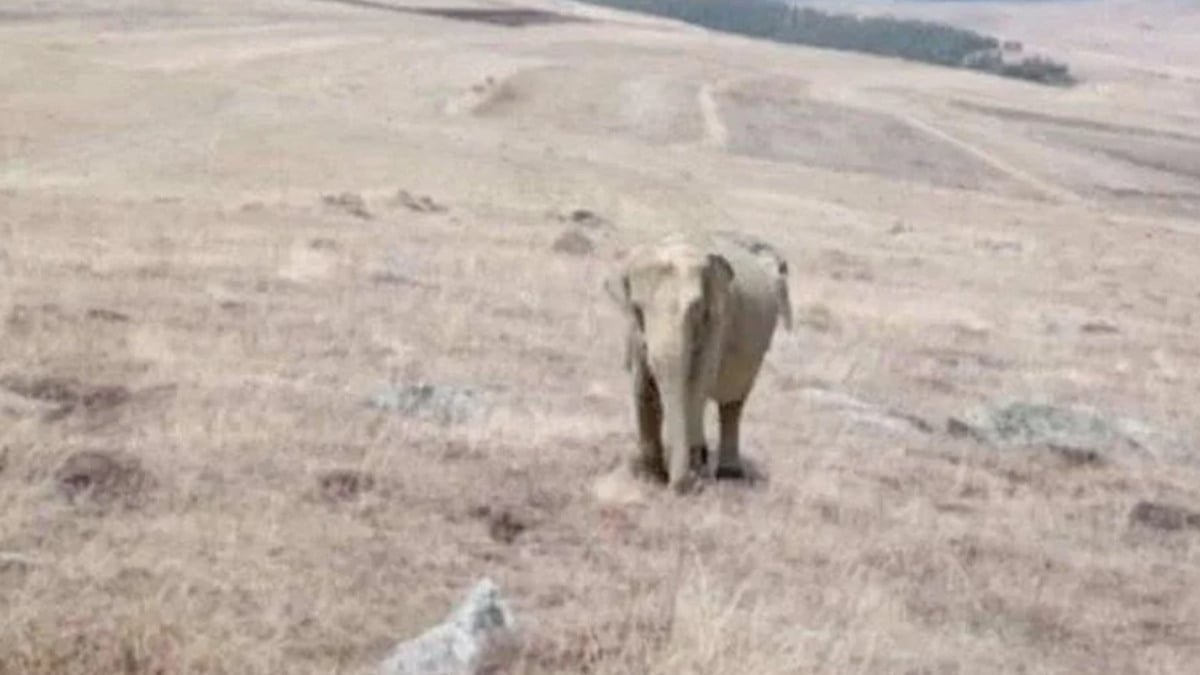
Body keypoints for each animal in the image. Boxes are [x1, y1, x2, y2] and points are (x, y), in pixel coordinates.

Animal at [604, 229, 792, 487]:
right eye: (636, 308)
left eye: (695, 308)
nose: (681, 485)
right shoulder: (635, 332)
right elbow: (643, 385)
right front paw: (650, 478)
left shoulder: (718, 319)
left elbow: (696, 382)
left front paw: (692, 473)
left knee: (732, 403)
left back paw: (728, 474)